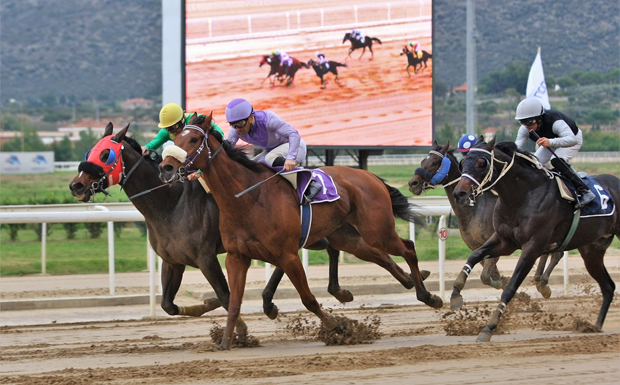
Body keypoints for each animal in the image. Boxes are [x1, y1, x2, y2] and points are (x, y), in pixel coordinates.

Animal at [68, 123, 354, 330]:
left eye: (106, 154)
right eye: (89, 152)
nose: (76, 185)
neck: (170, 205)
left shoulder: (205, 257)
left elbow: (226, 294)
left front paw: (240, 330)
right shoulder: (173, 260)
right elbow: (169, 305)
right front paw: (205, 303)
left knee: (319, 251)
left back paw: (332, 292)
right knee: (314, 252)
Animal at [157, 113, 444, 348]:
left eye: (194, 138)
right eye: (176, 137)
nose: (166, 167)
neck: (246, 198)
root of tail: (370, 176)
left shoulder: (288, 254)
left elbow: (308, 299)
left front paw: (338, 326)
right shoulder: (237, 257)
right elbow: (233, 302)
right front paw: (228, 342)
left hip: (378, 230)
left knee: (408, 247)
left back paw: (429, 296)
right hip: (349, 236)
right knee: (381, 254)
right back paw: (414, 285)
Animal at [410, 141, 564, 296]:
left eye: (435, 162)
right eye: (423, 161)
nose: (413, 184)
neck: (475, 208)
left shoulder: (496, 239)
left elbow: (485, 276)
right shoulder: (477, 246)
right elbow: (489, 273)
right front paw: (509, 286)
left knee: (556, 253)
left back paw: (542, 282)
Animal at [452, 136, 616, 340]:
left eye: (481, 163)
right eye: (462, 162)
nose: (459, 193)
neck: (522, 196)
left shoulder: (532, 248)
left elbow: (510, 287)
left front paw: (488, 327)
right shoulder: (504, 241)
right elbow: (474, 256)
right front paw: (455, 294)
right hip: (592, 251)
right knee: (608, 286)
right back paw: (595, 326)